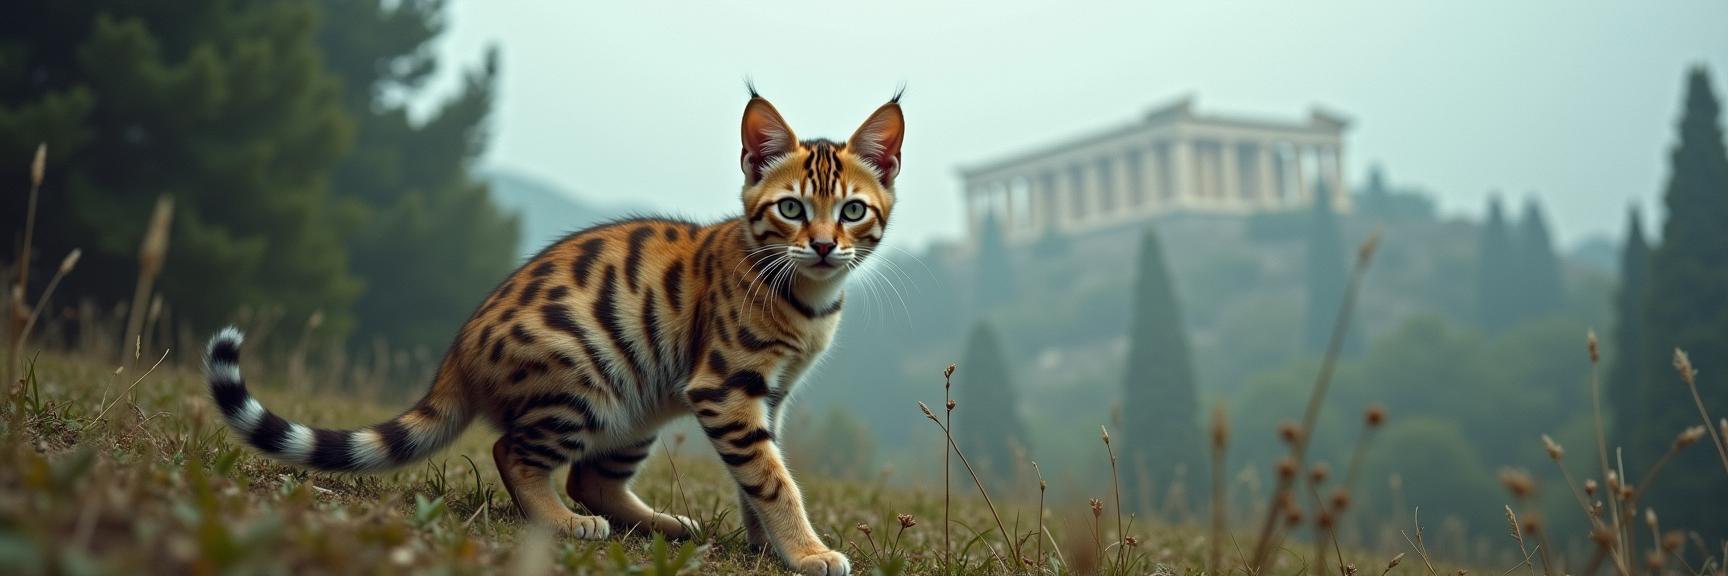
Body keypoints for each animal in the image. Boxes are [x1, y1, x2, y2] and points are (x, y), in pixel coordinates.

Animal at [202, 87, 904, 576]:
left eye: (851, 211)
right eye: (790, 208)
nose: (823, 246)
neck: (805, 298)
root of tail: (456, 355)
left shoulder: (768, 397)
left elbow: (757, 475)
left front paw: (770, 547)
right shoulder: (727, 389)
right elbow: (772, 478)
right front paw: (808, 552)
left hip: (639, 403)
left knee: (589, 478)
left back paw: (661, 524)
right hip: (589, 378)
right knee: (513, 453)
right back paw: (566, 524)